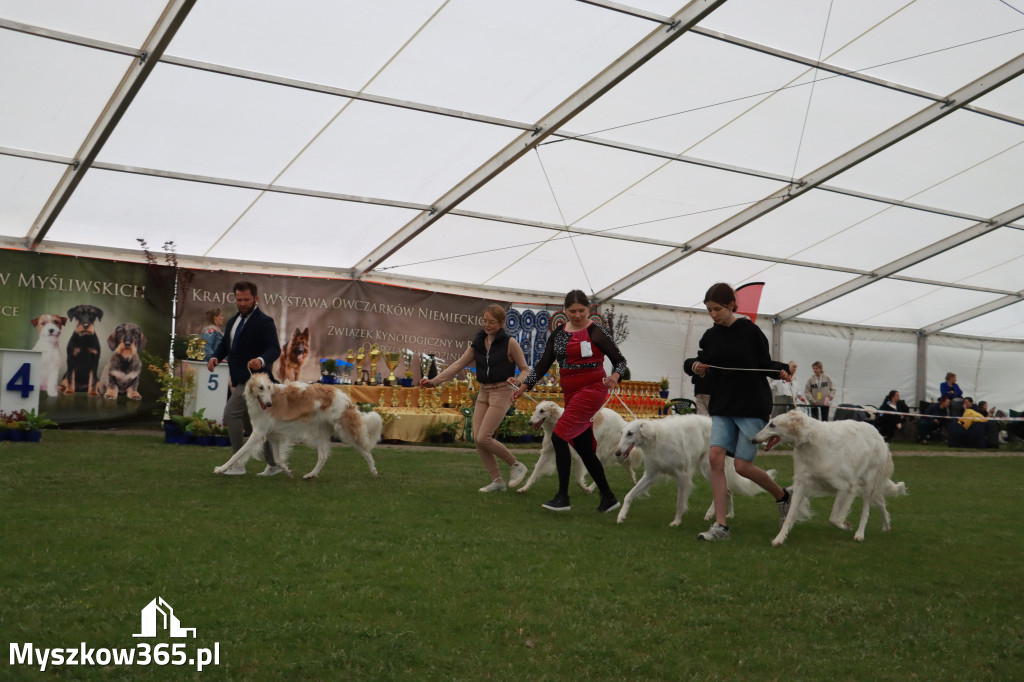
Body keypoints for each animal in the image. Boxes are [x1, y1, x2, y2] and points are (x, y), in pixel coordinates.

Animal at [214, 374, 382, 481]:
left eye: (269, 387)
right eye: (261, 387)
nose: (269, 404)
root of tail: (345, 398)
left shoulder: (258, 433)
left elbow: (237, 454)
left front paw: (221, 469)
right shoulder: (273, 436)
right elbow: (277, 459)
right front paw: (288, 471)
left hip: (345, 433)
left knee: (366, 451)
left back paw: (374, 471)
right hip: (320, 433)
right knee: (323, 457)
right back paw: (310, 475)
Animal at [749, 405, 909, 544]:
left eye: (772, 425)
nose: (752, 439)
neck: (810, 439)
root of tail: (878, 433)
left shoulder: (846, 486)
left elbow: (833, 518)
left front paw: (844, 525)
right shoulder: (802, 483)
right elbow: (790, 515)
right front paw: (779, 538)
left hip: (868, 482)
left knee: (866, 510)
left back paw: (859, 534)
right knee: (880, 503)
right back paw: (886, 525)